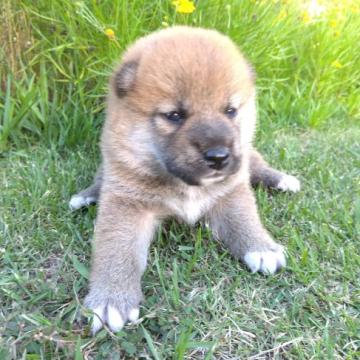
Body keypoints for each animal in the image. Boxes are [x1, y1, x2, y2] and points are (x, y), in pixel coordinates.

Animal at [69, 26, 300, 334]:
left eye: (230, 110)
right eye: (174, 115)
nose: (218, 156)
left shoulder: (231, 191)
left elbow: (244, 219)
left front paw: (261, 248)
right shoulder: (126, 201)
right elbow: (117, 248)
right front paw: (110, 300)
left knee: (256, 161)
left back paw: (281, 179)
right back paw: (87, 195)